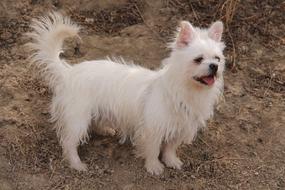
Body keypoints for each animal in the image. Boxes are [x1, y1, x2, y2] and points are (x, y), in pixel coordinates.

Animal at [27, 11, 225, 175]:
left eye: (217, 58)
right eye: (198, 59)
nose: (214, 67)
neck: (186, 89)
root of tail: (69, 72)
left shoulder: (180, 127)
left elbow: (170, 147)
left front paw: (171, 161)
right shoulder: (153, 129)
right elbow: (153, 149)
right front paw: (154, 166)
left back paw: (105, 130)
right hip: (77, 119)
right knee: (69, 143)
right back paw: (76, 164)